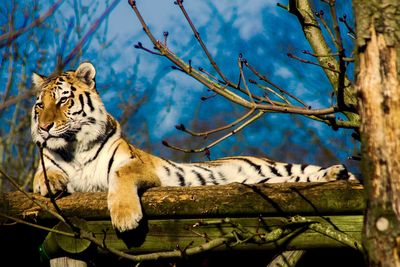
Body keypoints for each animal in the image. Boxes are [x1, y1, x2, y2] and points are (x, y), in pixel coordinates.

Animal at [31, 61, 356, 231]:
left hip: (274, 168)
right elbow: (41, 173)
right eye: (40, 105)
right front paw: (50, 184)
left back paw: (338, 173)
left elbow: (119, 175)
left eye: (63, 100)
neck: (75, 148)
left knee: (306, 172)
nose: (45, 127)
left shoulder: (137, 163)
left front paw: (125, 218)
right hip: (268, 179)